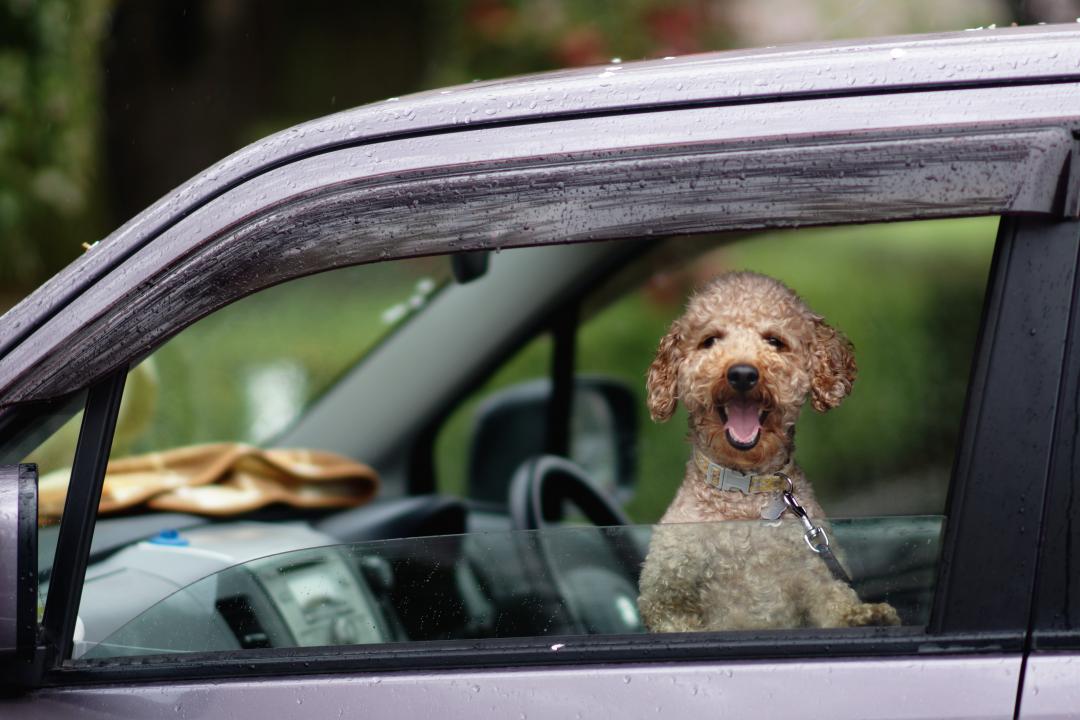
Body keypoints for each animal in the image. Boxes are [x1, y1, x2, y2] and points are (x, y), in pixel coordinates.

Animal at [635, 273, 898, 634]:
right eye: (710, 340)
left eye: (775, 341)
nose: (742, 373)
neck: (743, 493)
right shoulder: (665, 599)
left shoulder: (816, 575)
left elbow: (835, 604)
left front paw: (866, 616)